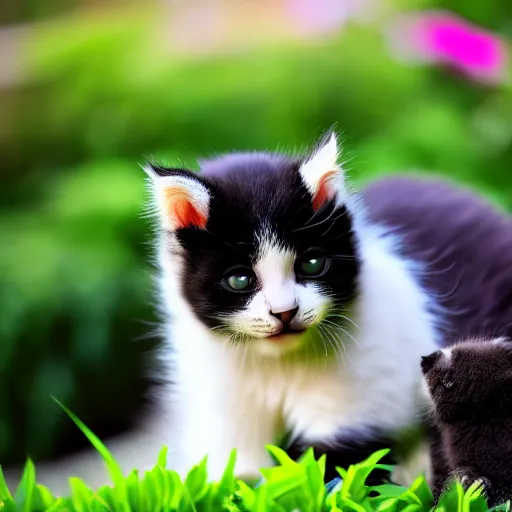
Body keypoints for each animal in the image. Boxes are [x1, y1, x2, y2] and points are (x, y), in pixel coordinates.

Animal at [144, 132, 512, 484]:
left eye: (312, 264)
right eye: (239, 280)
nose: (284, 312)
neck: (277, 365)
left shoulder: (367, 390)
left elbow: (326, 470)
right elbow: (238, 475)